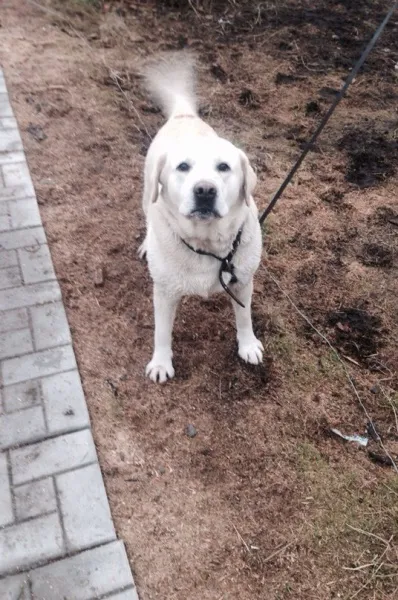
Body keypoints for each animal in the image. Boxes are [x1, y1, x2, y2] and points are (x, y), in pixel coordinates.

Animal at [140, 55, 264, 384]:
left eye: (224, 167)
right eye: (183, 167)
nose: (205, 191)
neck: (207, 242)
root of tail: (185, 115)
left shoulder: (243, 281)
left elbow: (244, 317)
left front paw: (248, 345)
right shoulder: (164, 292)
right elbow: (161, 332)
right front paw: (161, 362)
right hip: (147, 190)